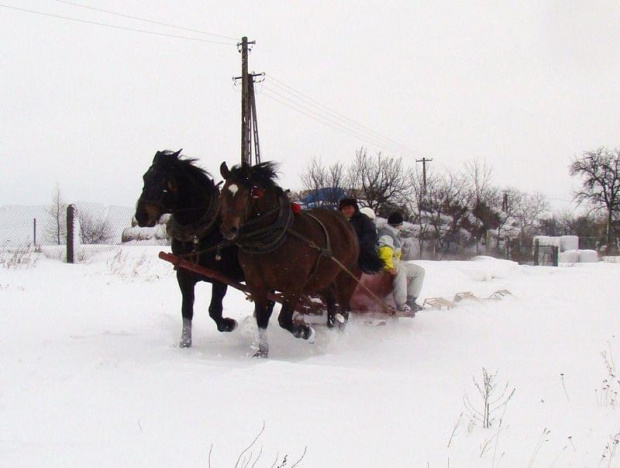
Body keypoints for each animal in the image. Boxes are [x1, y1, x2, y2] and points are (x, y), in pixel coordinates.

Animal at [219, 162, 368, 358]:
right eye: (222, 192)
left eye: (245, 194)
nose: (228, 229)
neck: (272, 239)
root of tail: (345, 222)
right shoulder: (257, 285)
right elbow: (261, 320)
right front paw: (262, 352)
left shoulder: (294, 286)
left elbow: (284, 320)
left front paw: (308, 332)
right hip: (319, 279)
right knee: (331, 301)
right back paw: (329, 329)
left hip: (345, 276)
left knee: (344, 310)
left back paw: (336, 340)